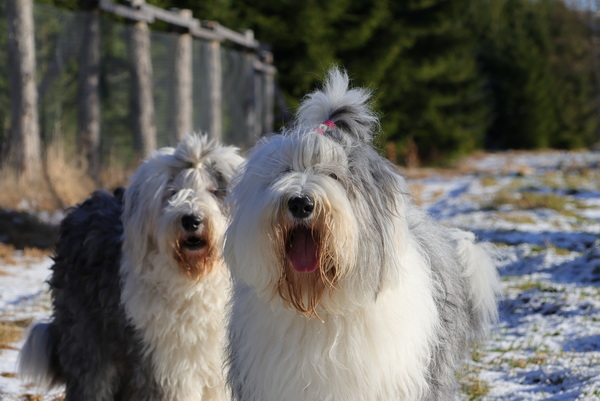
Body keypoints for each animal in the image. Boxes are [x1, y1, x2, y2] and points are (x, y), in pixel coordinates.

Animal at [18, 134, 243, 401]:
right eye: (172, 192)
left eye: (215, 191)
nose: (191, 219)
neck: (196, 280)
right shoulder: (166, 365)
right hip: (88, 339)